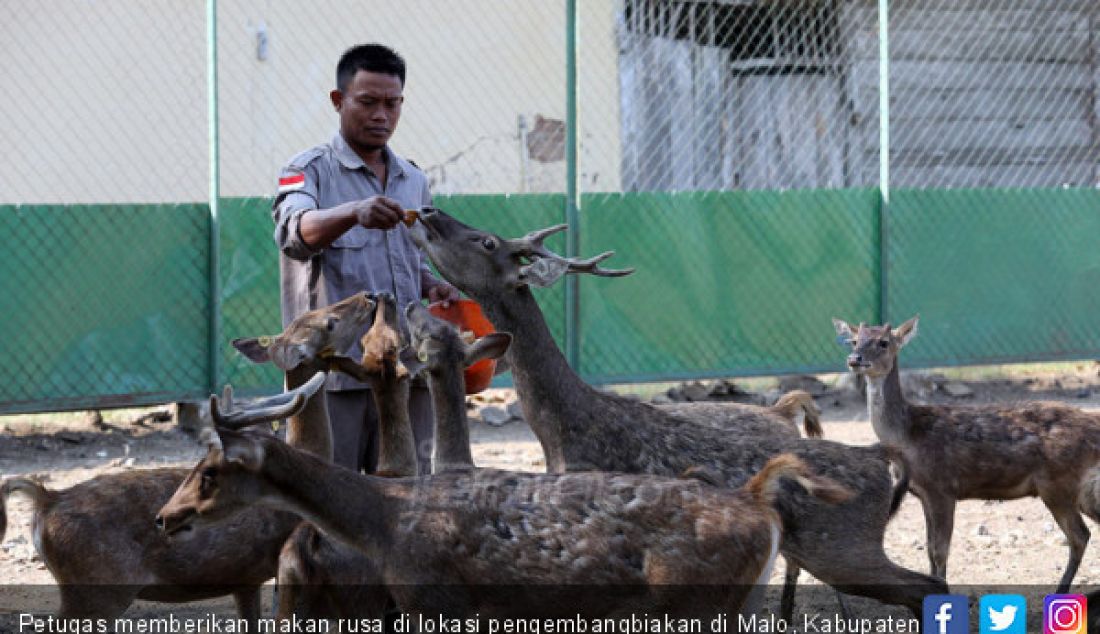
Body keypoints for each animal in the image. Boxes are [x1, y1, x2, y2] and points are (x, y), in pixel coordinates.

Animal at [404, 209, 946, 620]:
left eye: (486, 240)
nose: (427, 212)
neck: (560, 429)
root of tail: (880, 460)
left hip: (843, 546)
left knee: (926, 587)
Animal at [831, 314, 1100, 589]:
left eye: (884, 342)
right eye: (854, 340)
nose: (854, 359)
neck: (909, 435)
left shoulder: (942, 488)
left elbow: (940, 551)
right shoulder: (923, 493)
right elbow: (929, 550)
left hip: (1057, 484)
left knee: (1079, 536)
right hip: (1078, 489)